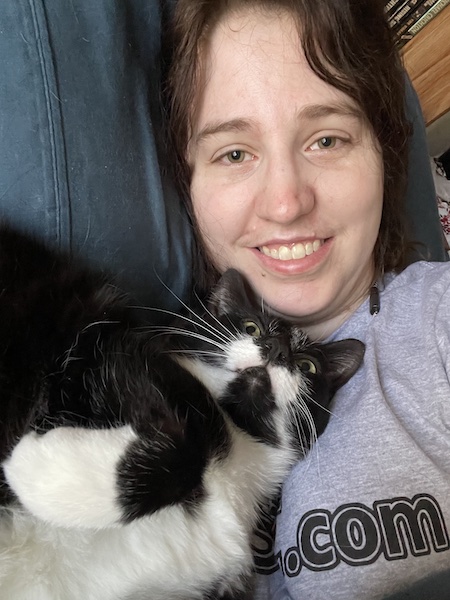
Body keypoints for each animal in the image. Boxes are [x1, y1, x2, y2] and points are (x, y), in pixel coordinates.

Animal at [0, 225, 364, 600]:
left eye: (307, 366)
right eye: (251, 328)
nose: (275, 348)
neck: (237, 443)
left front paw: (39, 470)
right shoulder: (102, 349)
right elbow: (185, 445)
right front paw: (40, 469)